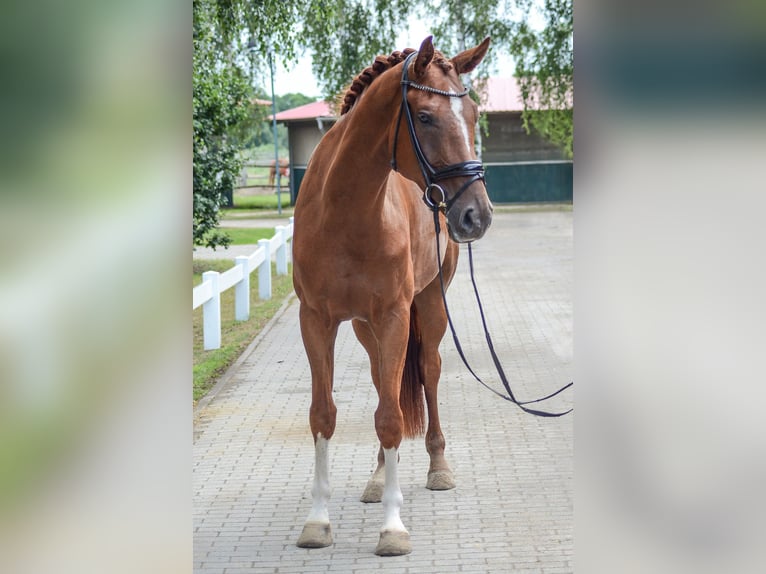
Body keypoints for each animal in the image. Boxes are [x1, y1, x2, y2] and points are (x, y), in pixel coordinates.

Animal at [292, 37, 496, 560]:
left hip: (429, 306)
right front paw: (317, 522)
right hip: (366, 329)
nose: (477, 215)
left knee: (428, 372)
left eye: (474, 114)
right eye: (424, 117)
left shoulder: (394, 316)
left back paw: (438, 468)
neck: (346, 210)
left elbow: (390, 417)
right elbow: (323, 414)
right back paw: (380, 474)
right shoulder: (316, 320)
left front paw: (392, 528)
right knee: (384, 382)